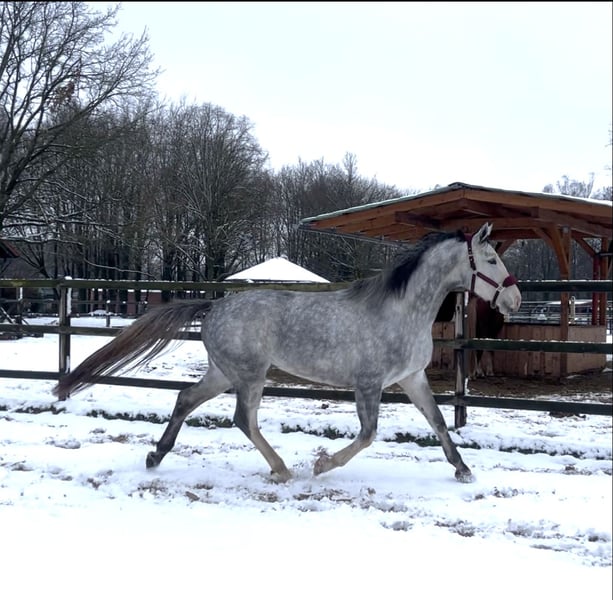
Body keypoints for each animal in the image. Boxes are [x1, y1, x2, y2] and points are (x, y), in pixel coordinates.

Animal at [53, 223, 521, 484]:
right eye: (492, 259)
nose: (514, 300)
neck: (401, 310)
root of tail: (214, 306)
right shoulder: (368, 384)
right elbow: (368, 435)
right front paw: (322, 464)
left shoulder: (411, 378)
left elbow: (439, 422)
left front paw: (463, 470)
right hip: (250, 375)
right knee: (243, 419)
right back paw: (281, 468)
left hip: (224, 373)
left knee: (186, 399)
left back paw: (155, 456)